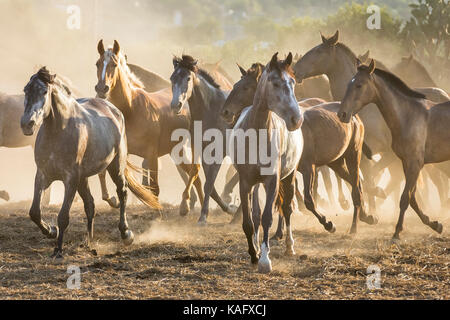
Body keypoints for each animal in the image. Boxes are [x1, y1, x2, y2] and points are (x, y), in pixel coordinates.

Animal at [22, 67, 162, 258]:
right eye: (26, 90)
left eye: (44, 91)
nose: (26, 124)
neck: (59, 131)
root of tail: (114, 110)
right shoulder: (43, 175)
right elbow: (34, 212)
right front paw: (51, 231)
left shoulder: (71, 179)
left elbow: (63, 216)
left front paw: (58, 249)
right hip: (84, 179)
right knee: (90, 205)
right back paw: (89, 242)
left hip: (115, 167)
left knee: (122, 192)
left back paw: (126, 234)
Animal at [95, 40, 204, 215]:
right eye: (97, 63)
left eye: (114, 64)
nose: (101, 89)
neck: (131, 109)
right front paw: (113, 200)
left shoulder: (151, 154)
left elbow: (154, 187)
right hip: (176, 150)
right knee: (196, 177)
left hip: (193, 144)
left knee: (195, 170)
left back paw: (185, 205)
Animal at [232, 52, 302, 272]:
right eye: (275, 82)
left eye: (293, 82)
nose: (296, 119)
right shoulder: (245, 182)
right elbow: (249, 221)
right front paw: (254, 254)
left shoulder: (272, 180)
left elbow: (267, 217)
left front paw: (264, 260)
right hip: (255, 185)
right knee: (255, 214)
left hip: (289, 177)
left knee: (287, 209)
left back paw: (289, 246)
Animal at [338, 60, 446, 240]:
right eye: (348, 84)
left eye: (359, 85)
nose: (342, 114)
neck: (408, 116)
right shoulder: (406, 163)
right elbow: (412, 198)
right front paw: (435, 224)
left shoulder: (415, 163)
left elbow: (405, 198)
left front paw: (397, 232)